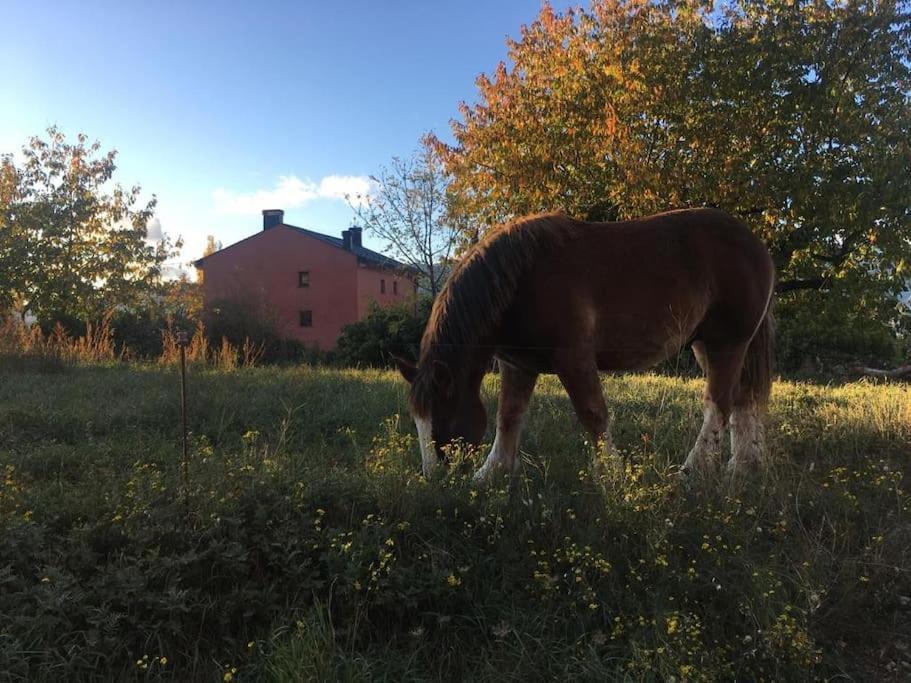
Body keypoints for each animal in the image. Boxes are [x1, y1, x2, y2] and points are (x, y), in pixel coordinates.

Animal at [396, 208, 772, 480]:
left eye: (442, 424)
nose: (434, 481)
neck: (520, 280)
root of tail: (756, 245)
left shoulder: (573, 359)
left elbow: (593, 414)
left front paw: (612, 478)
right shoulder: (518, 366)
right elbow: (508, 417)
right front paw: (492, 473)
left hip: (728, 342)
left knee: (720, 403)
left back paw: (693, 472)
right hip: (706, 344)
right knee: (741, 400)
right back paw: (742, 466)